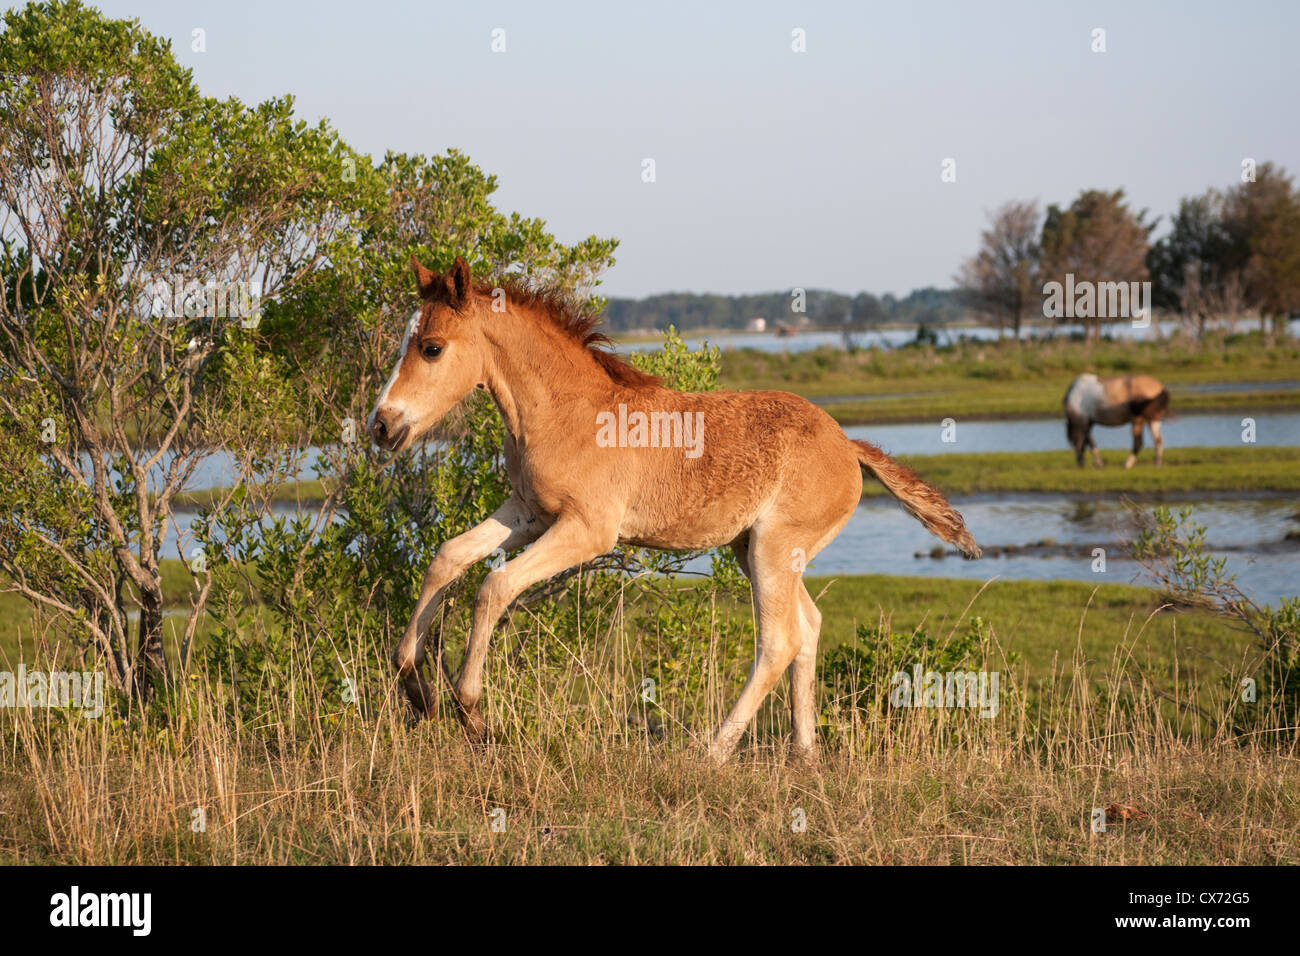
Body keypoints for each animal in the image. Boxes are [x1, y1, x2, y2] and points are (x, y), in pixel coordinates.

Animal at [368, 255, 981, 765]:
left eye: (431, 347)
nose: (381, 425)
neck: (566, 412)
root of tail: (848, 445)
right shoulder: (527, 513)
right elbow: (447, 558)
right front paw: (415, 687)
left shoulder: (587, 531)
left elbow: (493, 588)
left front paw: (472, 715)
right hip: (758, 550)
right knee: (808, 628)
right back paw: (803, 754)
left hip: (773, 548)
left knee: (778, 641)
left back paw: (713, 752)